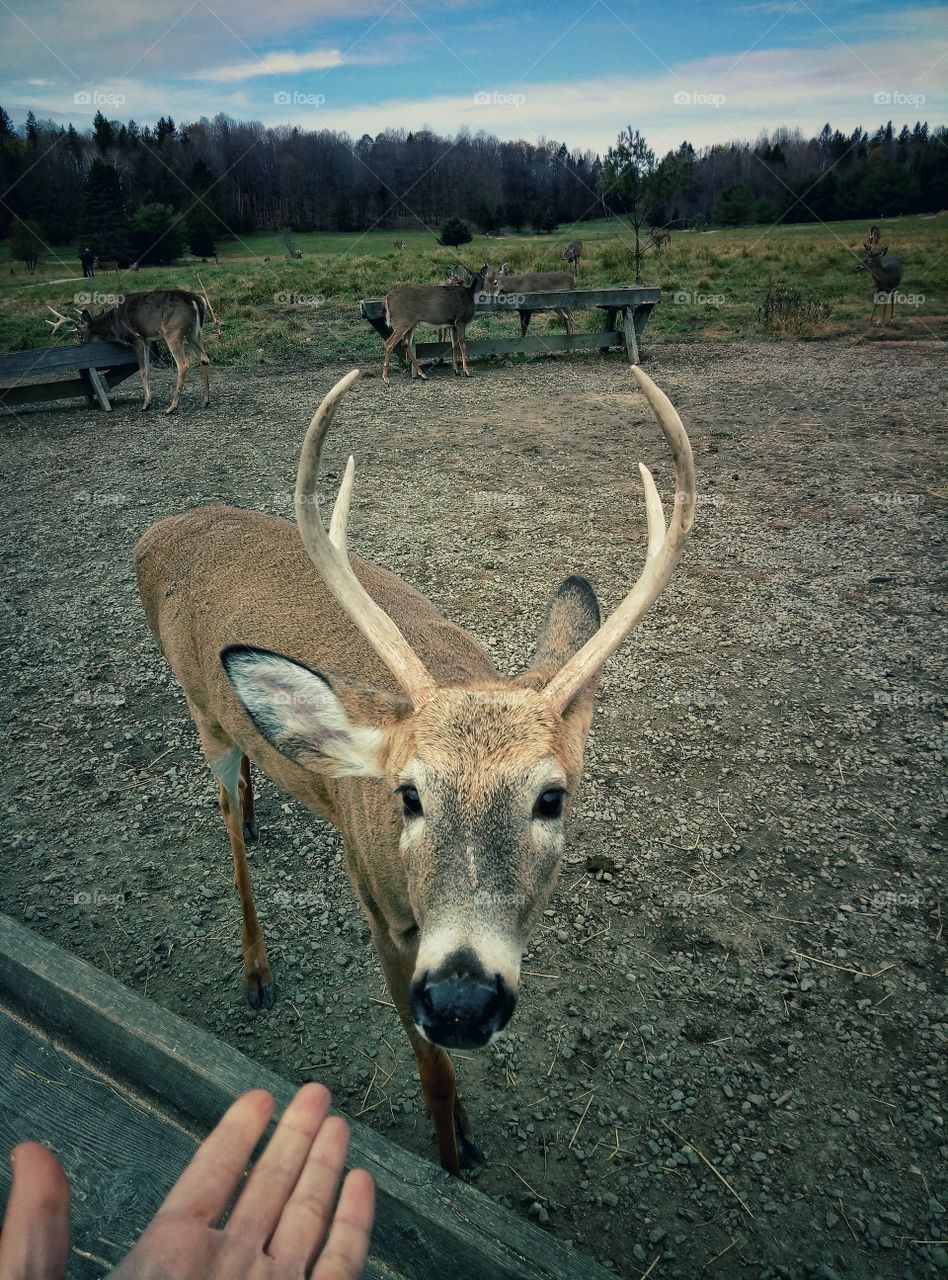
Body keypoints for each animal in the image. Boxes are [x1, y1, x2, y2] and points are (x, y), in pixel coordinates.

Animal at [45, 289, 210, 413]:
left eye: (80, 334)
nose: (81, 345)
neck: (114, 324)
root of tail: (196, 300)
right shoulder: (148, 340)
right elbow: (147, 369)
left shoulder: (136, 338)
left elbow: (143, 370)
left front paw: (146, 404)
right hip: (194, 332)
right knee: (204, 358)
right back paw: (205, 401)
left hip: (173, 330)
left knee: (183, 364)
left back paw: (172, 407)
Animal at [133, 364, 695, 1176]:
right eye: (407, 794)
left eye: (552, 797)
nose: (462, 1001)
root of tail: (150, 536)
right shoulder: (381, 915)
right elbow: (431, 1073)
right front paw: (454, 1156)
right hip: (201, 712)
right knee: (225, 818)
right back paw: (256, 970)